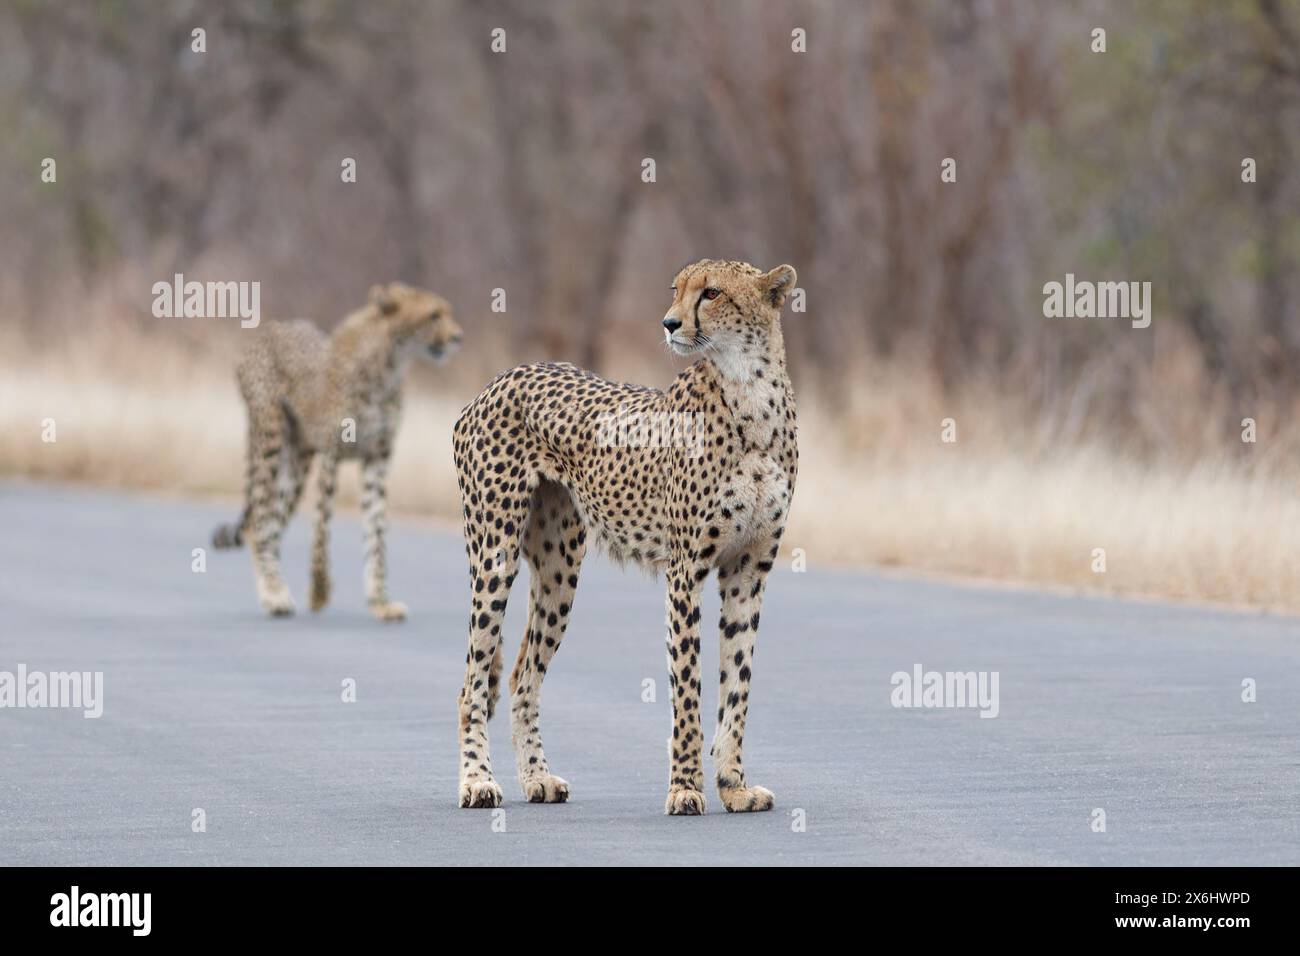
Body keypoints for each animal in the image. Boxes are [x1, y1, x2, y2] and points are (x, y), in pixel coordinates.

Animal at [219, 282, 467, 621]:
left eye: (447, 312)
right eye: (434, 315)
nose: (457, 337)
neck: (389, 363)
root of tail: (272, 327)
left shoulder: (378, 460)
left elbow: (376, 533)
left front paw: (381, 602)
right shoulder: (331, 455)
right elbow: (322, 531)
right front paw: (319, 593)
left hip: (298, 462)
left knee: (270, 524)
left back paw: (276, 591)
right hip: (270, 439)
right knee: (259, 521)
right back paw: (274, 594)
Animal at [452, 260, 795, 816]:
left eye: (711, 293)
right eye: (676, 289)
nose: (669, 323)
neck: (749, 388)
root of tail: (504, 376)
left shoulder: (749, 570)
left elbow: (736, 687)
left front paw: (734, 786)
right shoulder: (685, 572)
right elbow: (688, 689)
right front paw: (685, 788)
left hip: (559, 571)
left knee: (523, 675)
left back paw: (537, 778)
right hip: (495, 554)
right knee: (474, 681)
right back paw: (478, 782)